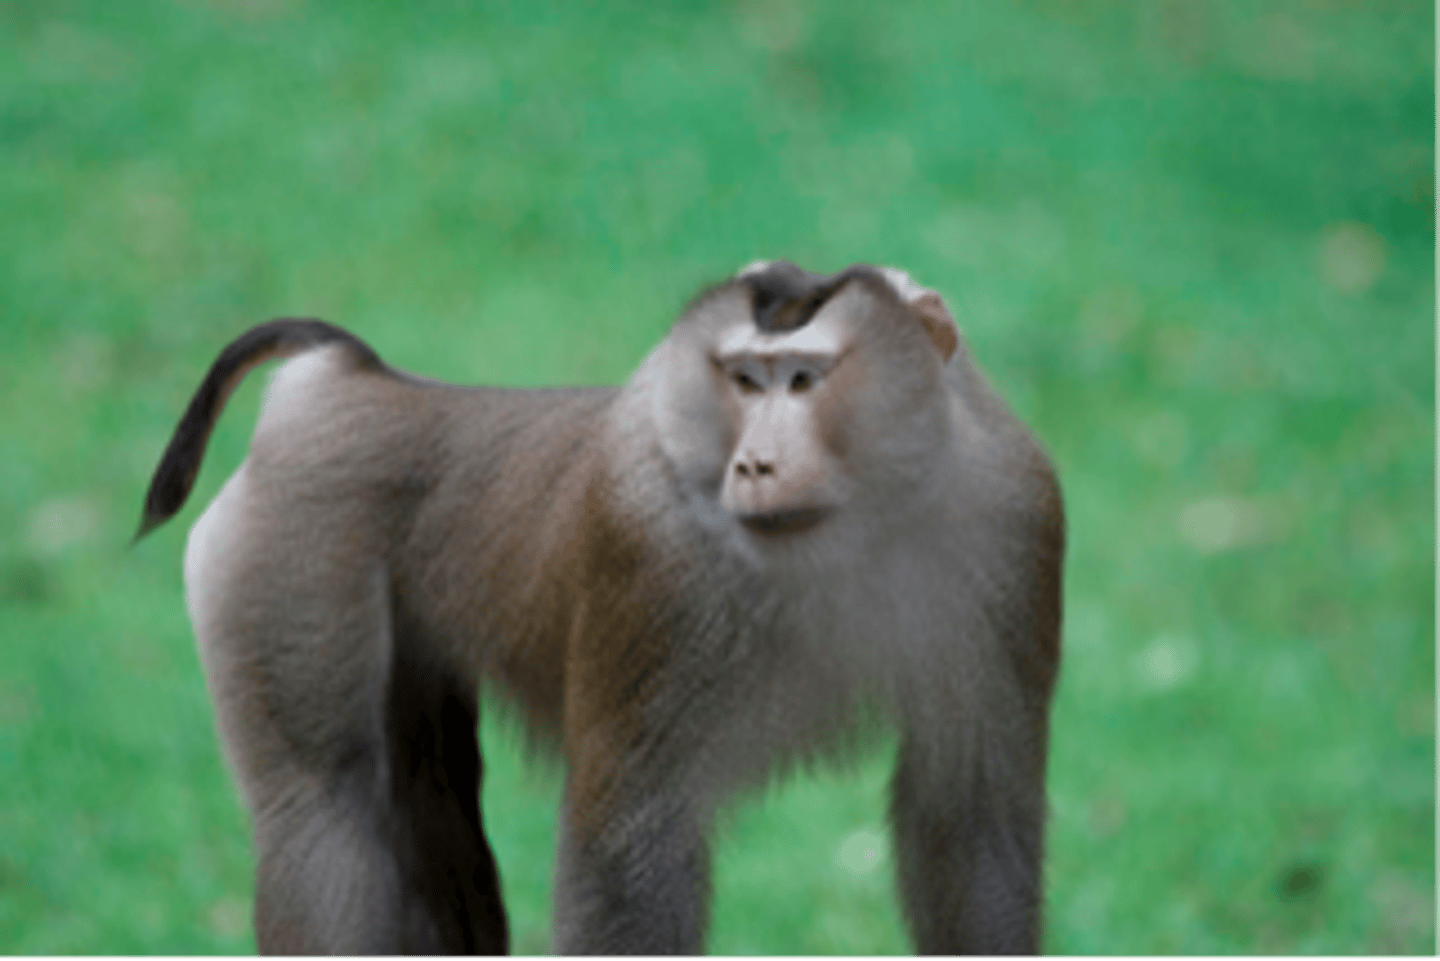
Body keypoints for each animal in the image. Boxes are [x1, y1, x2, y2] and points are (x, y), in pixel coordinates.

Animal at [137, 260, 1064, 957]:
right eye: (744, 379)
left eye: (805, 380)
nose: (754, 465)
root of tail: (354, 381)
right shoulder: (654, 561)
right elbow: (627, 852)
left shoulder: (1014, 525)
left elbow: (971, 818)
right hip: (298, 548)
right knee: (327, 813)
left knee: (428, 806)